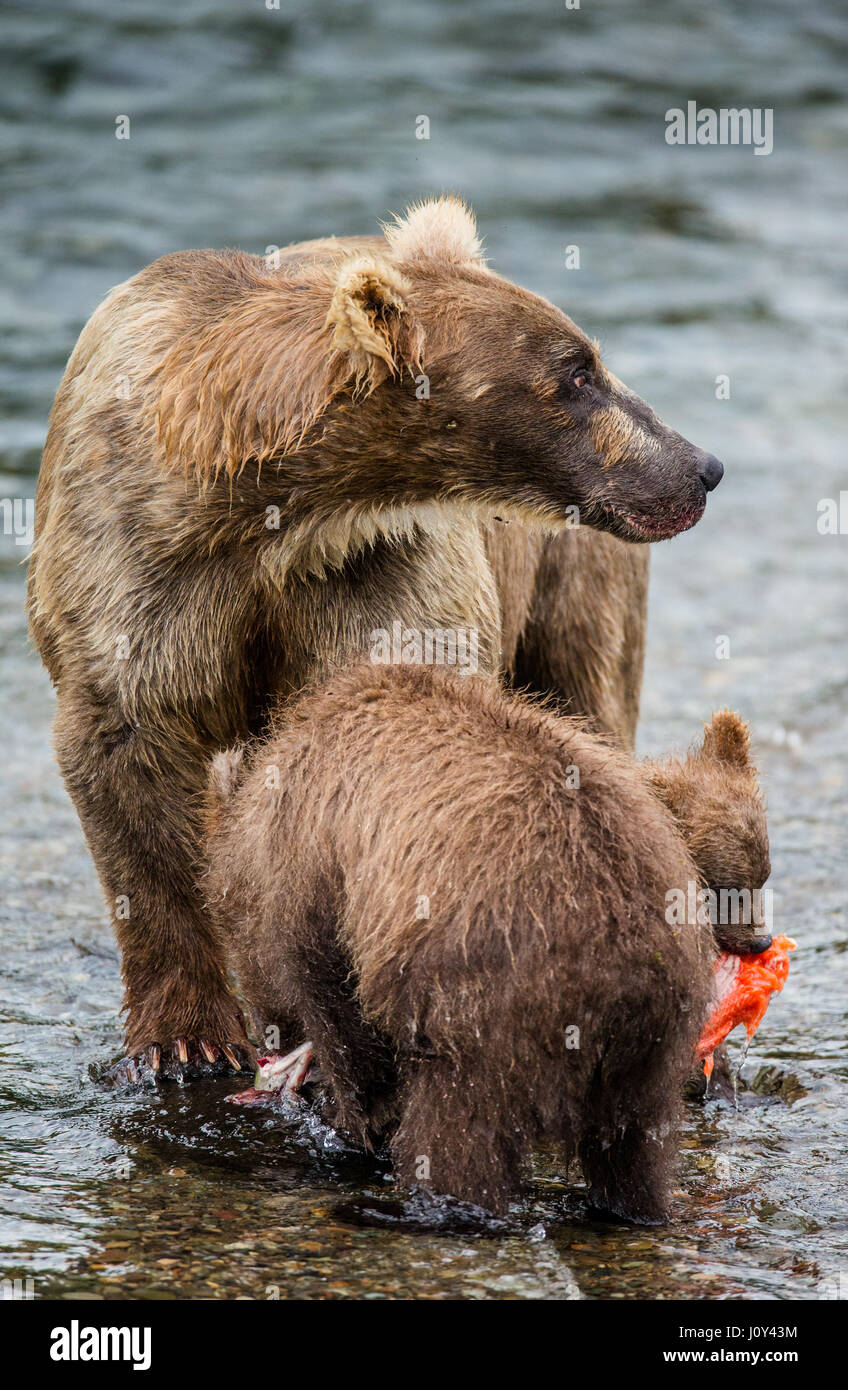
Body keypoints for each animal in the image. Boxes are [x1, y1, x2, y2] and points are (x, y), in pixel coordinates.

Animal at [26, 195, 724, 1078]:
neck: (266, 512)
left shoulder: (379, 570)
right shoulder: (136, 566)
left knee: (590, 697)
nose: (699, 465)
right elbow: (130, 768)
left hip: (574, 577)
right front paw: (188, 1039)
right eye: (575, 374)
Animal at [204, 666, 769, 1221]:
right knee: (636, 1146)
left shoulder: (320, 871)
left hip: (486, 1001)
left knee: (460, 1128)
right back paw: (636, 1206)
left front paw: (351, 1121)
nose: (761, 940)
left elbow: (340, 1012)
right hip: (652, 1037)